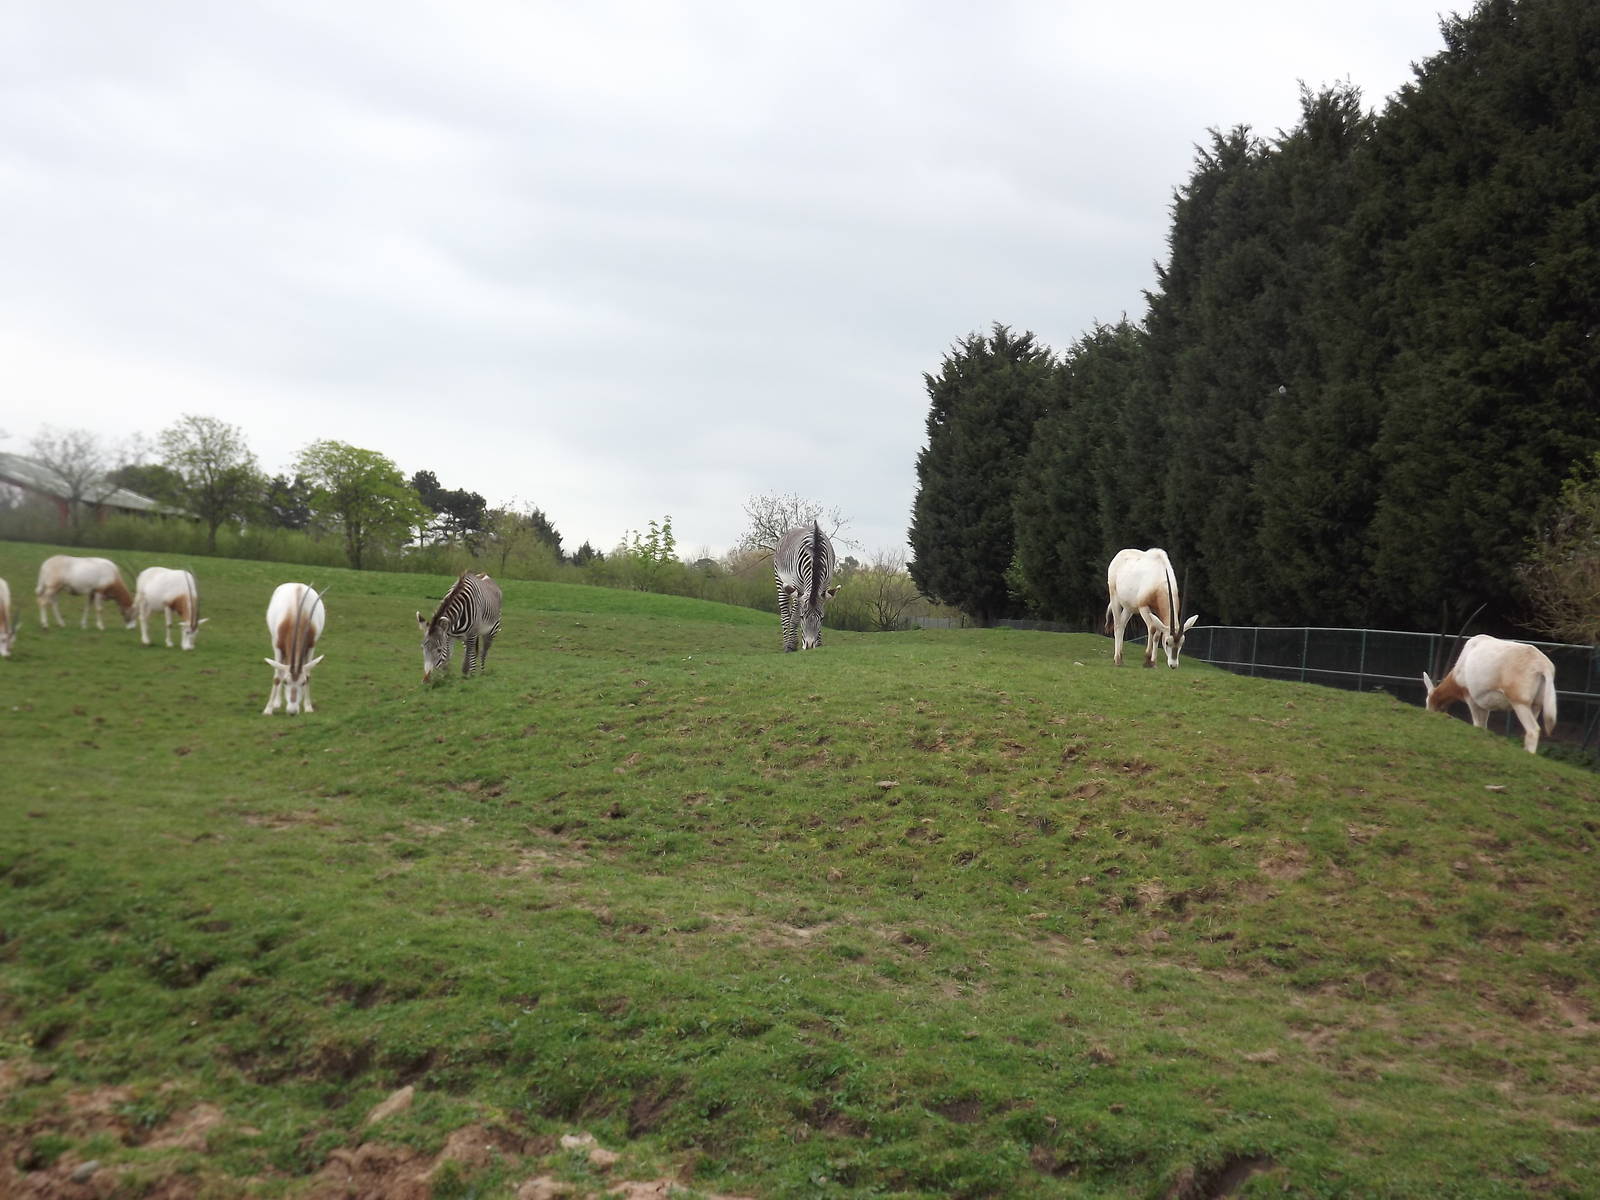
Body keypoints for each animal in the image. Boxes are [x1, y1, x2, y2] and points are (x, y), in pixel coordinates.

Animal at [773, 521, 839, 651]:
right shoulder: (798, 588)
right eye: (802, 617)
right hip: (781, 582)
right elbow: (794, 618)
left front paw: (819, 643)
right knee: (785, 615)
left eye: (822, 618)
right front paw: (790, 645)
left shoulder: (825, 586)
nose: (809, 646)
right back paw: (787, 643)